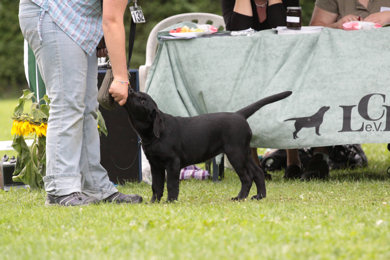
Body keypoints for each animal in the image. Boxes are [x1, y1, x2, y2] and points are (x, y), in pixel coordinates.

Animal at [123, 90, 290, 202]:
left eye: (142, 100)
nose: (129, 90)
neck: (154, 134)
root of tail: (239, 115)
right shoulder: (155, 165)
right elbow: (156, 186)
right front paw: (154, 202)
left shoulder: (172, 163)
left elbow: (171, 184)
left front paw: (170, 201)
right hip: (245, 153)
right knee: (258, 172)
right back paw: (260, 196)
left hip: (235, 154)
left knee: (247, 178)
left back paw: (239, 197)